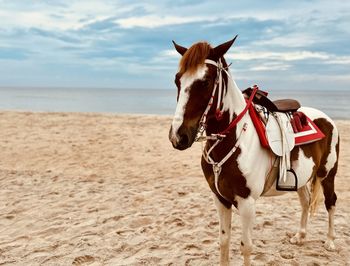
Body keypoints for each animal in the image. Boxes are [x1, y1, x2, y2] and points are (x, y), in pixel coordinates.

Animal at [169, 35, 340, 266]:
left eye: (205, 81)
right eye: (177, 80)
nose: (178, 136)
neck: (233, 141)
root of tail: (327, 118)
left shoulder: (247, 203)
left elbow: (246, 246)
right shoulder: (220, 199)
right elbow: (224, 241)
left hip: (327, 174)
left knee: (331, 202)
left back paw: (330, 241)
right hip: (303, 178)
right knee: (305, 201)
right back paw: (300, 236)